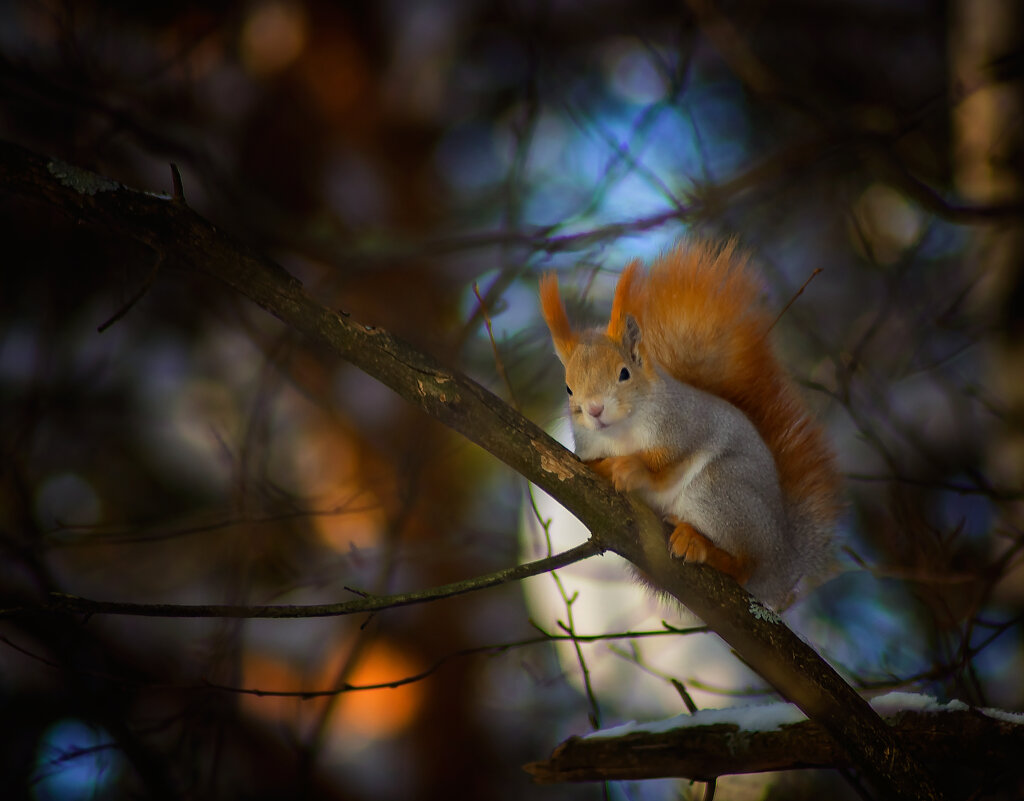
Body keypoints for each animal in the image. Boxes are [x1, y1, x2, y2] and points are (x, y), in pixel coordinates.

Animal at [536, 239, 839, 610]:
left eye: (624, 373)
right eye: (568, 388)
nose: (594, 409)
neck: (622, 432)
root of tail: (782, 559)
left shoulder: (686, 424)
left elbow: (666, 463)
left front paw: (630, 468)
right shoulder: (589, 445)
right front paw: (606, 468)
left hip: (719, 491)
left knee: (745, 565)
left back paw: (698, 544)